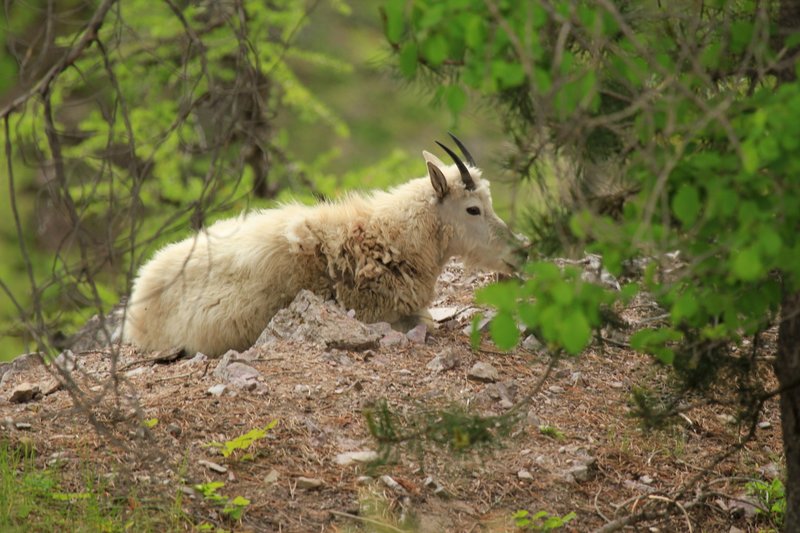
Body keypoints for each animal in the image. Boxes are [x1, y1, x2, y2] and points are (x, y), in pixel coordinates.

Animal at [123, 134, 528, 356]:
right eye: (473, 209)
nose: (520, 252)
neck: (389, 239)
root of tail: (139, 291)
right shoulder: (379, 312)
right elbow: (425, 322)